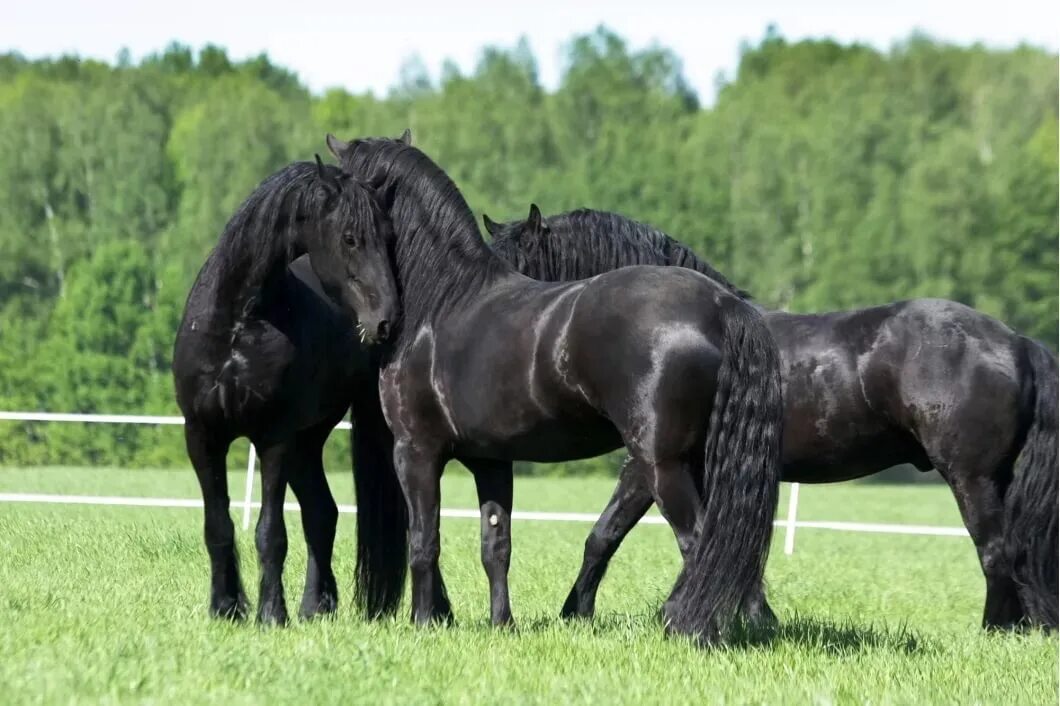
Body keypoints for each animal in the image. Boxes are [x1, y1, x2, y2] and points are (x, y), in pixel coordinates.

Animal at [171, 157, 398, 623]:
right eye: (350, 237)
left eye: (389, 238)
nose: (386, 319)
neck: (237, 320)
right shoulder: (202, 435)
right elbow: (217, 526)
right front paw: (224, 607)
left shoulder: (273, 438)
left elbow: (270, 532)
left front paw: (271, 613)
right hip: (305, 443)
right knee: (320, 511)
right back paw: (316, 606)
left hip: (303, 439)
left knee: (320, 514)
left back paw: (311, 606)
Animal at [317, 131, 784, 644]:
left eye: (347, 203)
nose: (376, 323)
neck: (441, 304)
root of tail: (720, 305)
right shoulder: (491, 459)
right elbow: (496, 543)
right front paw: (501, 623)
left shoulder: (416, 450)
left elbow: (424, 541)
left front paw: (423, 623)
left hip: (662, 464)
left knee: (701, 543)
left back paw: (696, 629)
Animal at [485, 203, 1055, 627]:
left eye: (515, 268)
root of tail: (1017, 342)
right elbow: (613, 536)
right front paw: (577, 614)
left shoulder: (649, 463)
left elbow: (618, 533)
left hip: (971, 477)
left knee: (996, 551)